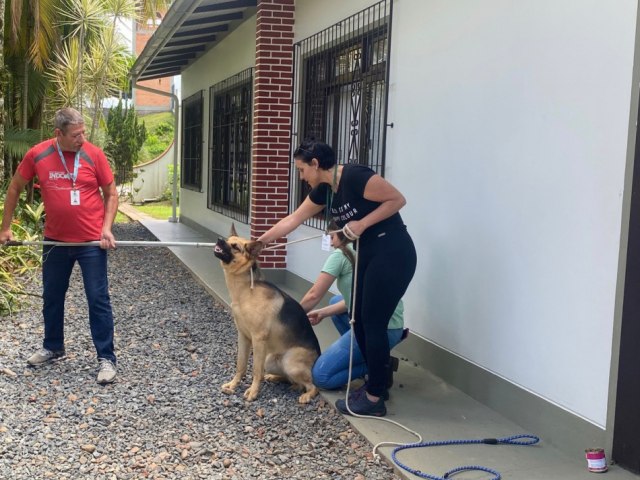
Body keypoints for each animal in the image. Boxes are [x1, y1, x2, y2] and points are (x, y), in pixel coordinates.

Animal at [214, 227, 320, 404]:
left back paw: (306, 395)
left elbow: (256, 370)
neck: (246, 290)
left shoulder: (258, 339)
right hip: (271, 359)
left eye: (235, 246)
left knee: (312, 386)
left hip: (289, 362)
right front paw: (234, 384)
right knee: (292, 381)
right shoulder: (243, 336)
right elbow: (240, 365)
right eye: (228, 240)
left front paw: (253, 391)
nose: (219, 240)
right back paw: (274, 378)